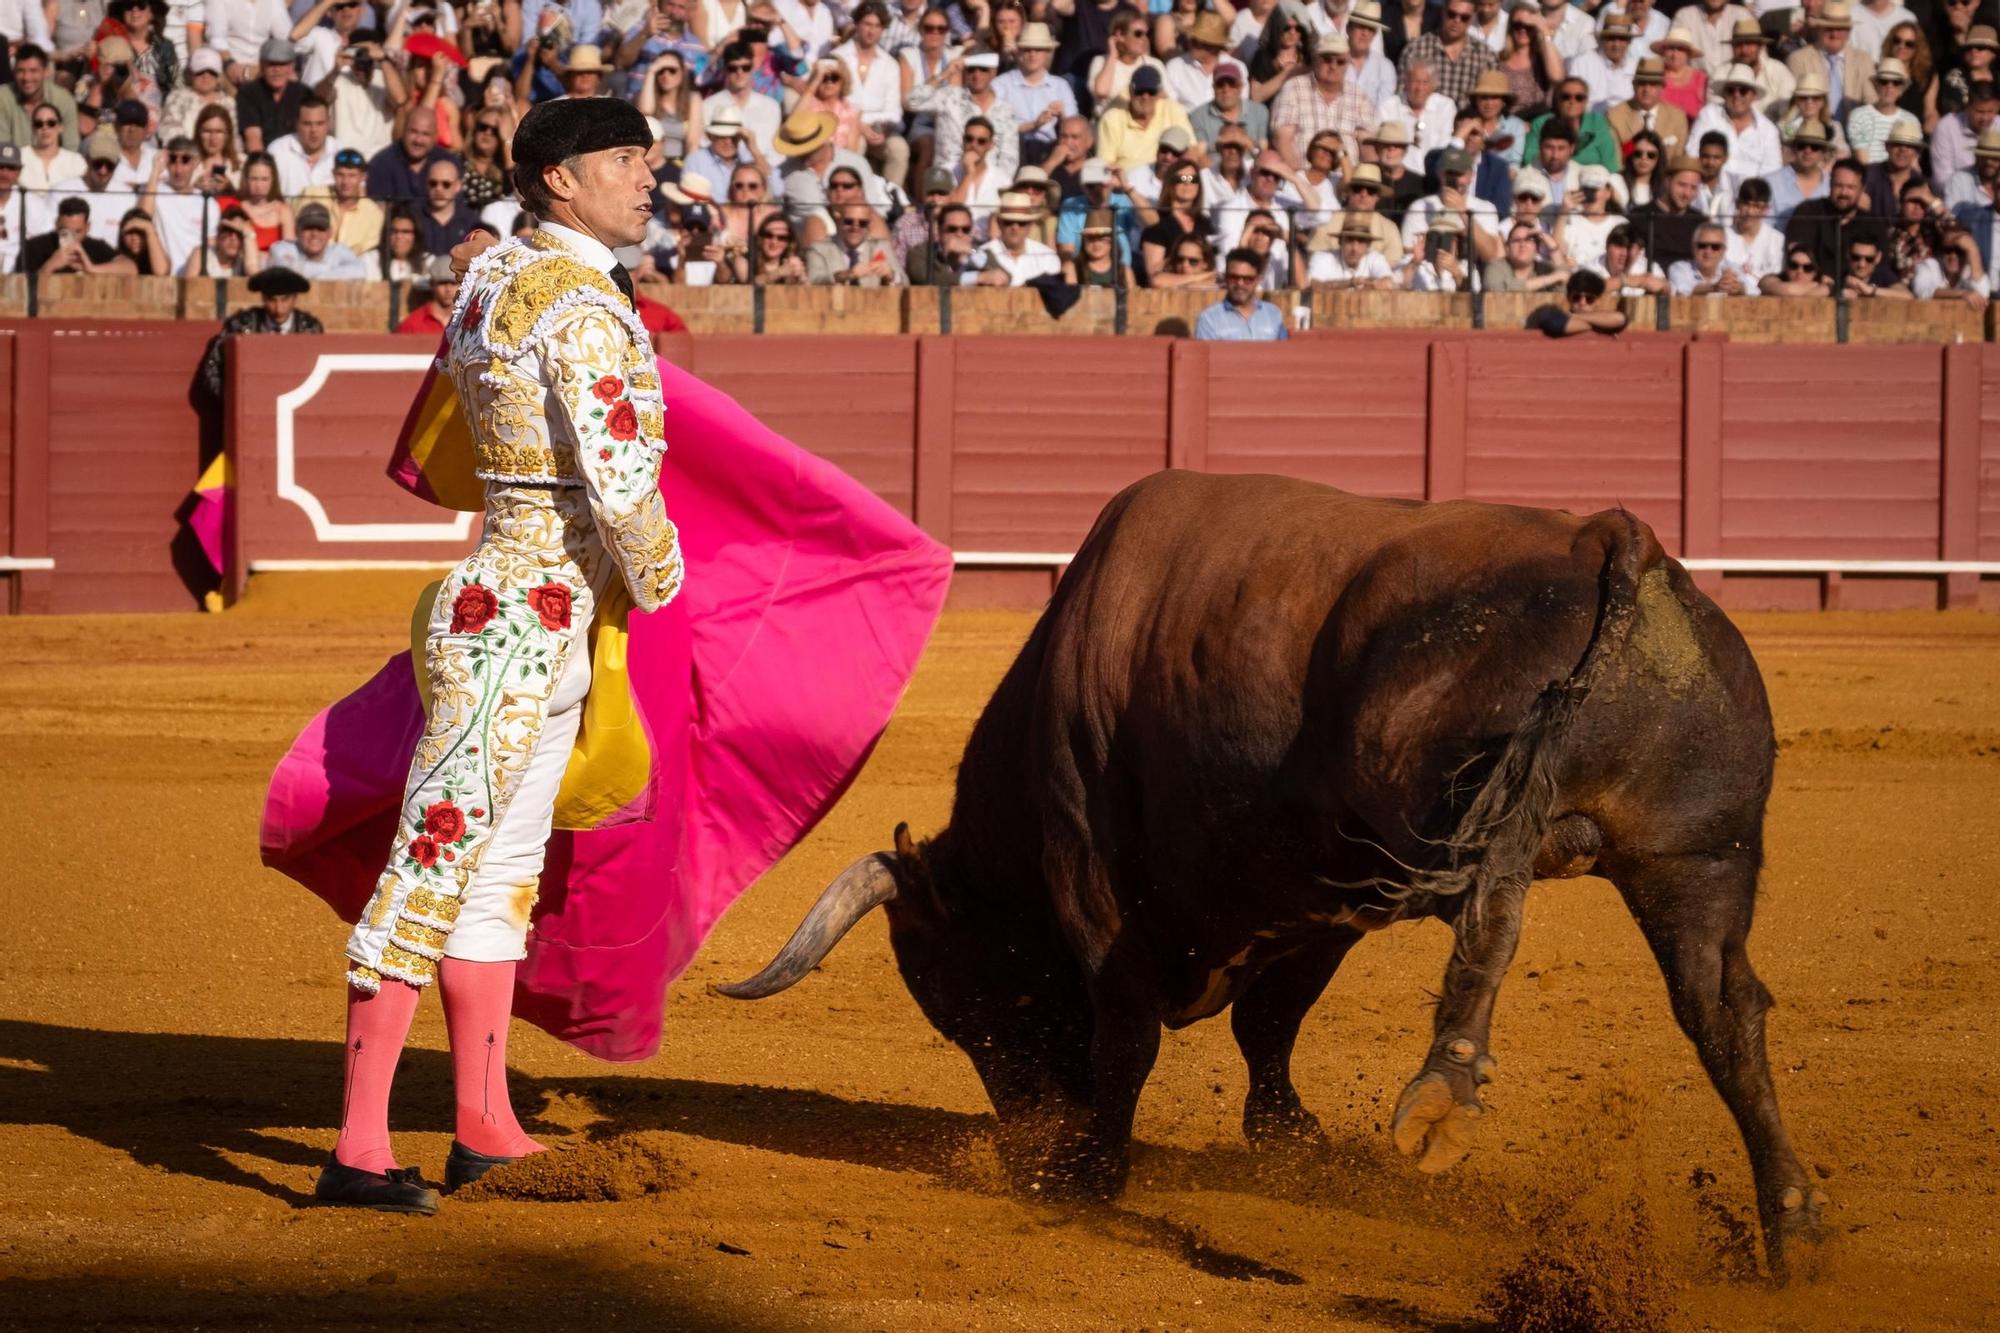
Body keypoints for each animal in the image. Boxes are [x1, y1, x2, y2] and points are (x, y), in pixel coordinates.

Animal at [720, 472, 1832, 1272]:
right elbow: (1269, 1019)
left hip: (1443, 792)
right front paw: (1289, 1140)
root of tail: (1611, 541)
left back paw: (1444, 1089)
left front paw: (1093, 1170)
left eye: (968, 998)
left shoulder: (1090, 875)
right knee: (1723, 1009)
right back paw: (1791, 1224)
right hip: (1696, 852)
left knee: (1496, 900)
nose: (1031, 1144)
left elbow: (1130, 1035)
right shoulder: (1319, 899)